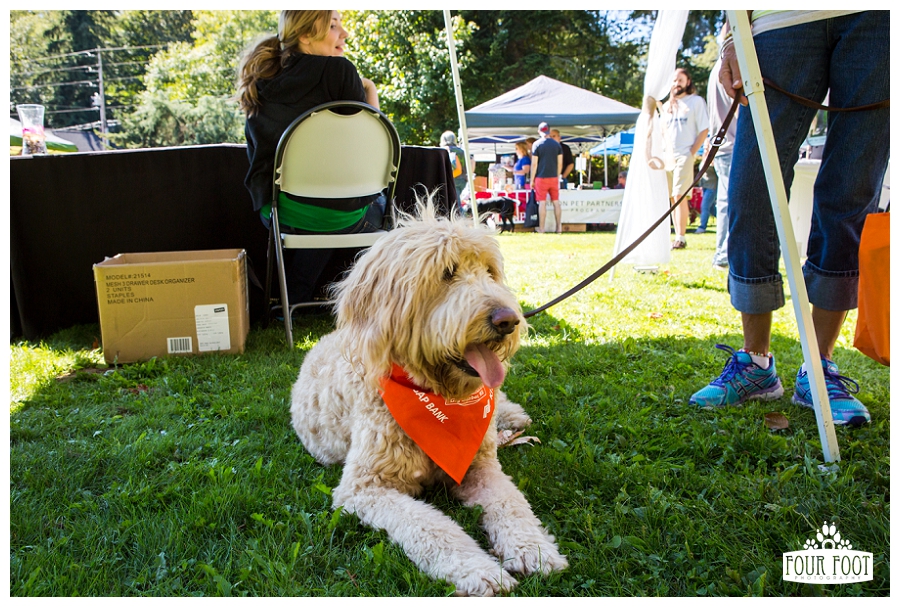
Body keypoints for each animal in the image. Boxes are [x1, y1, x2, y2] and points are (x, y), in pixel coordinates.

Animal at [290, 200, 567, 596]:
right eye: (447, 273)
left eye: (489, 271)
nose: (508, 320)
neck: (437, 396)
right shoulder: (365, 487)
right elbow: (431, 526)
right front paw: (479, 570)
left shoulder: (482, 467)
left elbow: (512, 503)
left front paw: (534, 547)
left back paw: (512, 415)